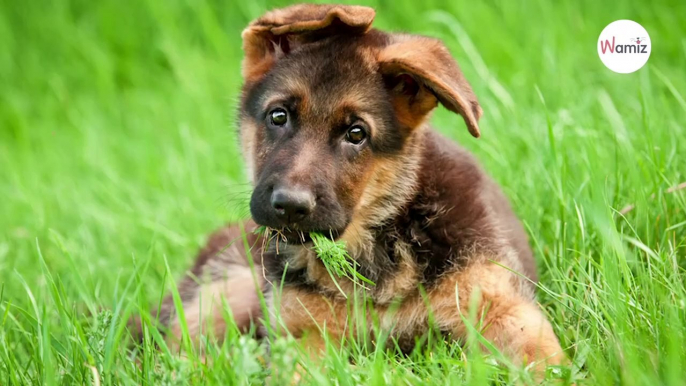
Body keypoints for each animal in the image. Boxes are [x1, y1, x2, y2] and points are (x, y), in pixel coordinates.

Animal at [159, 2, 568, 376]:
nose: (289, 205)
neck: (374, 246)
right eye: (278, 116)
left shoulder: (500, 305)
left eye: (357, 134)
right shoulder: (302, 334)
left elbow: (548, 363)